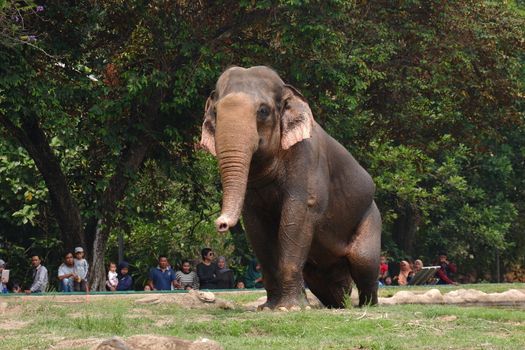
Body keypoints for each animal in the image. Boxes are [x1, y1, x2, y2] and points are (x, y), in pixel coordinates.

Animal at [199, 66, 378, 308]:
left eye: (263, 111)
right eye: (216, 112)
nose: (221, 224)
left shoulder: (307, 159)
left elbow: (298, 214)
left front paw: (288, 308)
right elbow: (256, 226)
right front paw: (268, 308)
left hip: (370, 218)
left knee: (364, 264)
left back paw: (365, 305)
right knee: (326, 281)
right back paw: (338, 305)